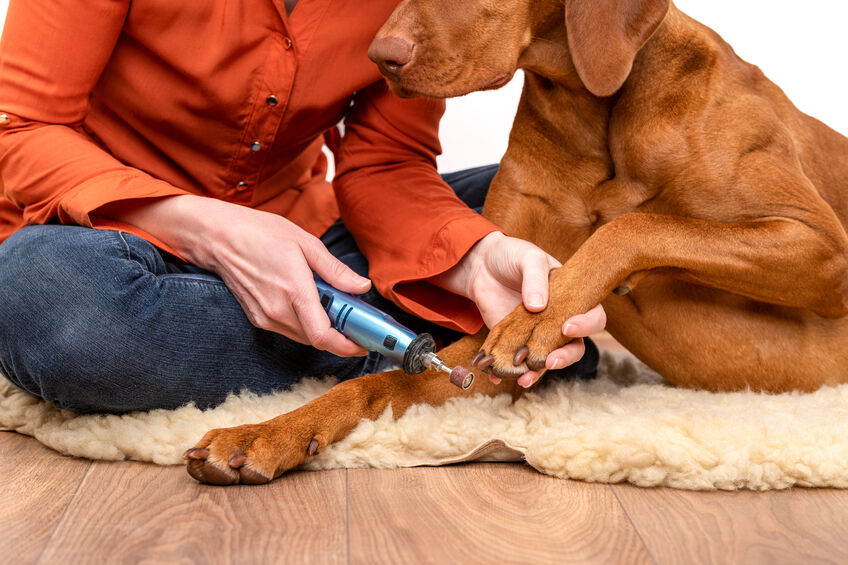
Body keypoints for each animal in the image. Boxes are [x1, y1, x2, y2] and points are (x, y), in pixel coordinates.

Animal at [184, 0, 848, 484]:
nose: (378, 55)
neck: (597, 111)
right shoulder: (479, 354)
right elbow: (380, 381)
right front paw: (265, 431)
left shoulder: (822, 251)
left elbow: (636, 224)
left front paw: (543, 316)